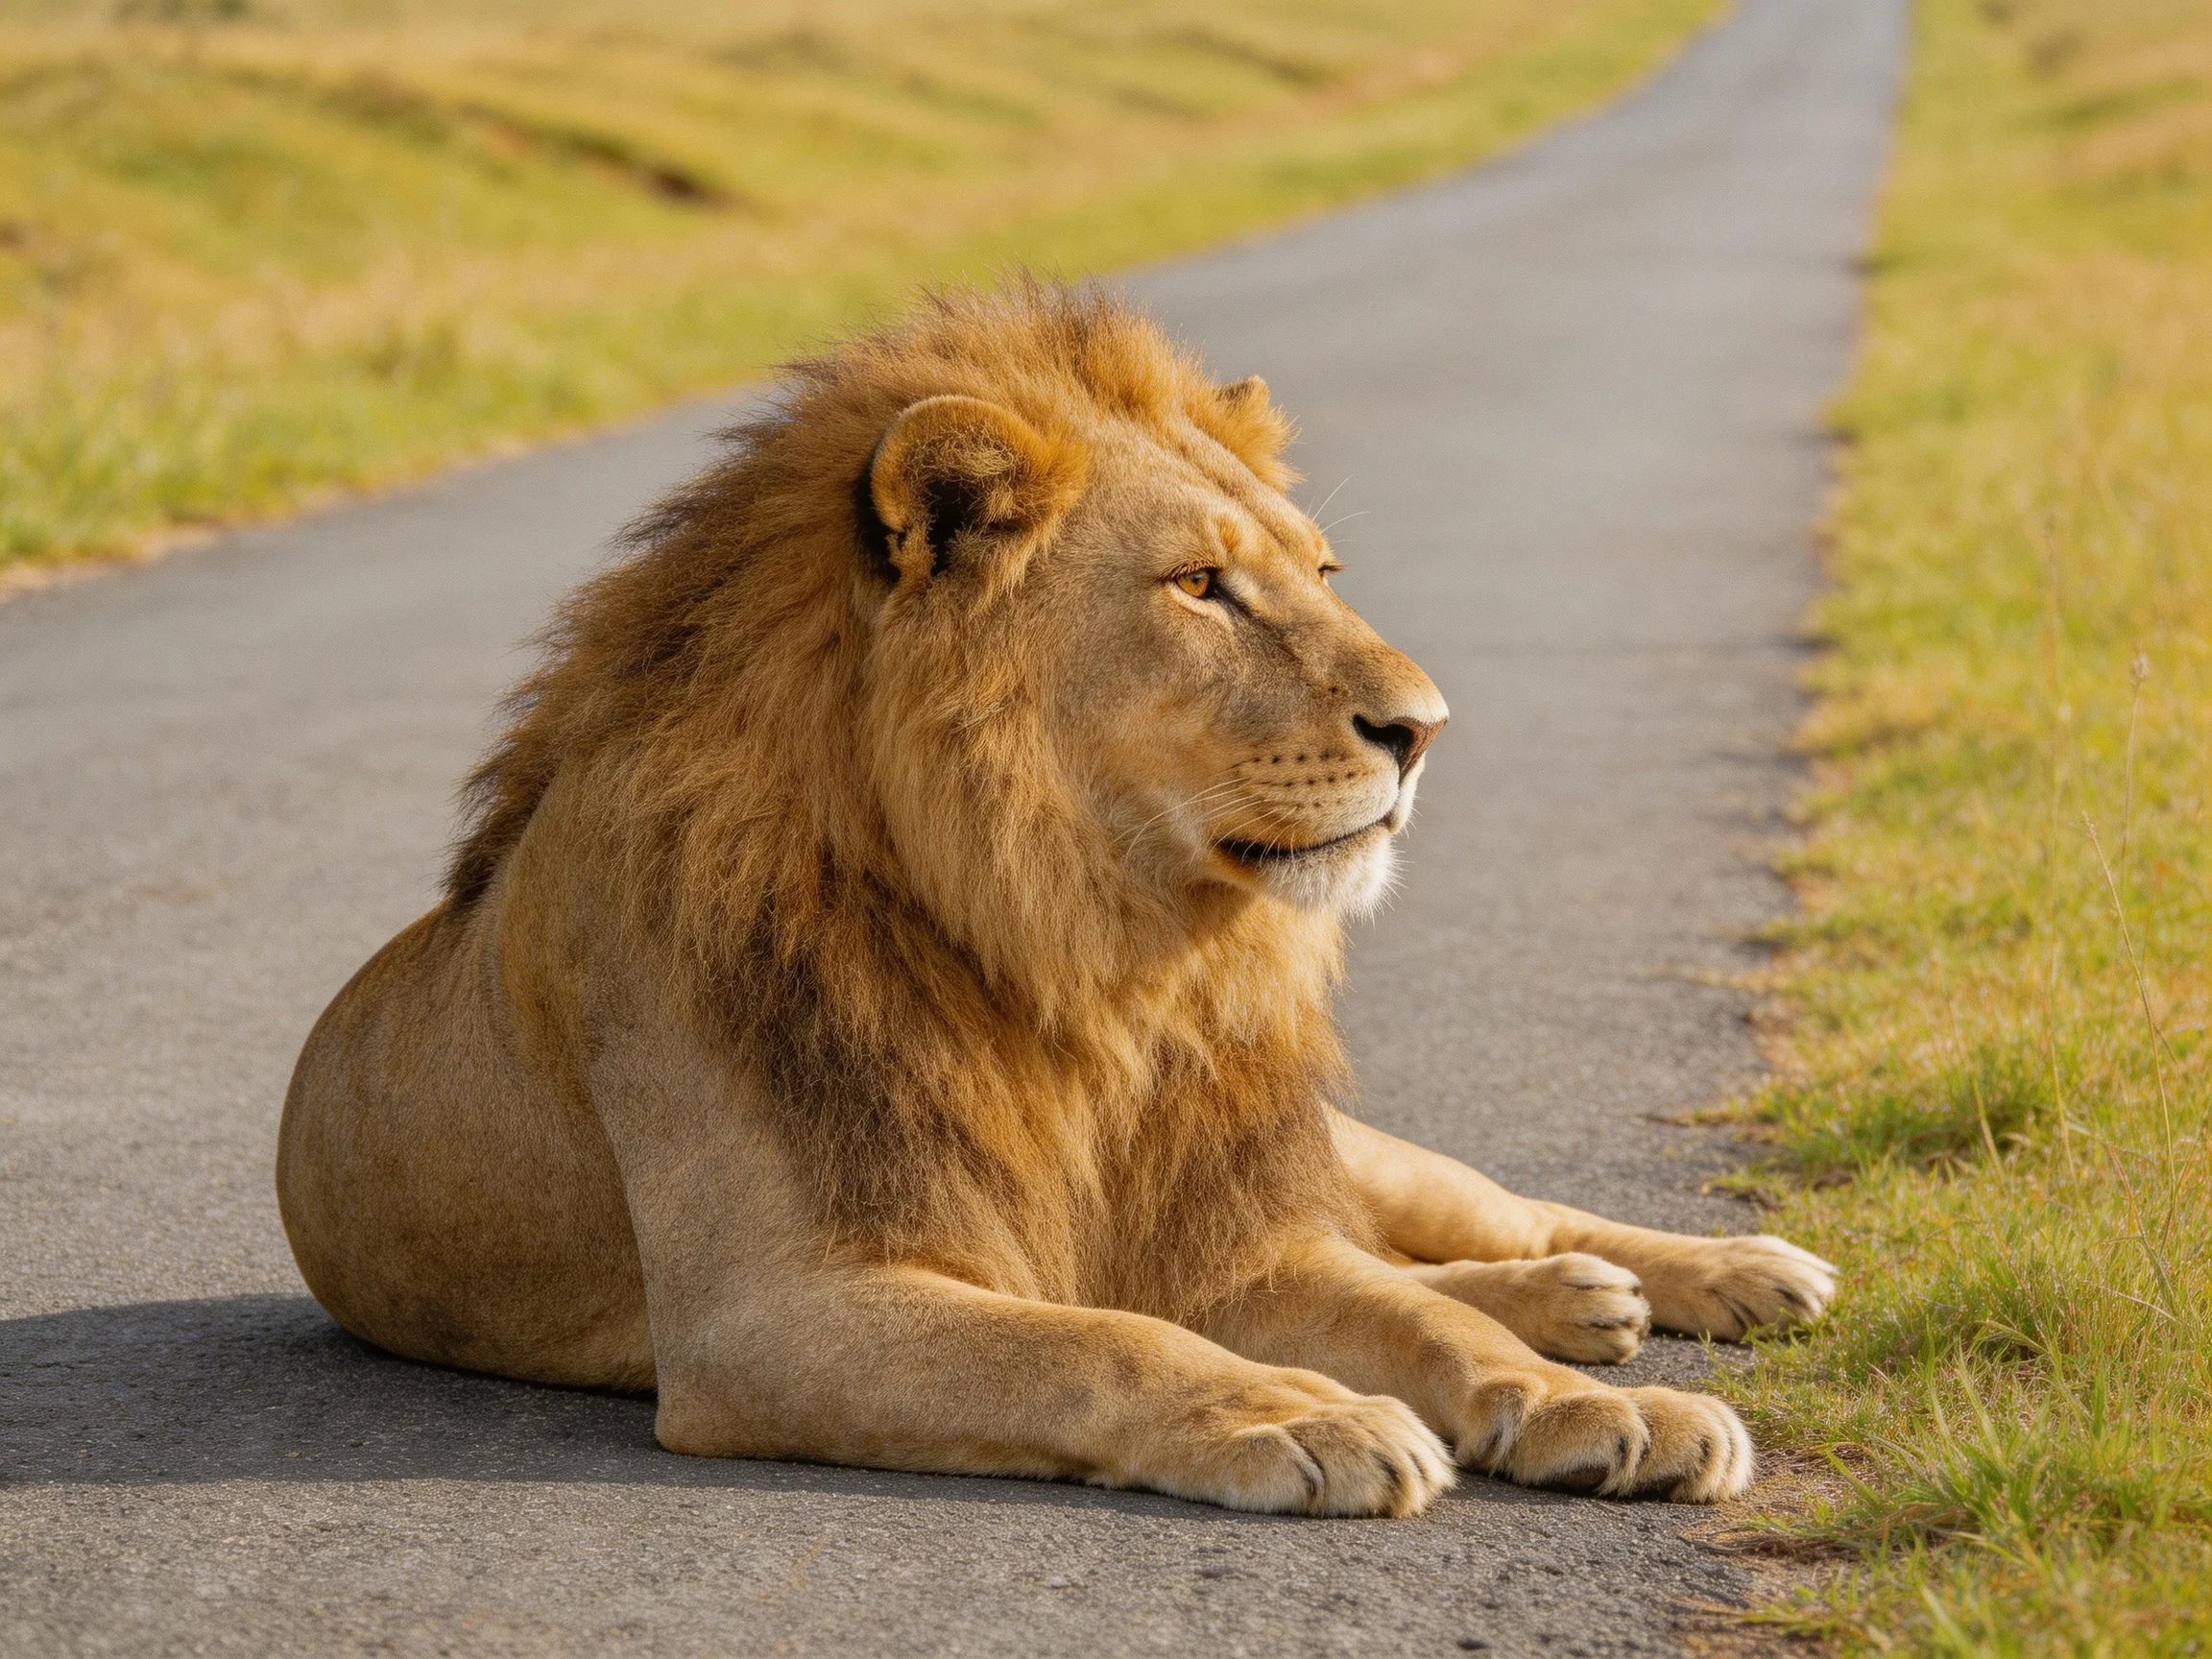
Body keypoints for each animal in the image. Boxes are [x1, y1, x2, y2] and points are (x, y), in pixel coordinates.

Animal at [277, 282, 1835, 1517]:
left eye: (1323, 571)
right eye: (1202, 586)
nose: (1429, 728)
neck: (1087, 952)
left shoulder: (1211, 1225)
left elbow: (1427, 1327)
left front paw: (1597, 1409)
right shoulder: (772, 1314)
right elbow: (1106, 1339)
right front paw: (1301, 1409)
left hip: (1349, 1150)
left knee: (1478, 1211)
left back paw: (1698, 1277)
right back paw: (1586, 1306)